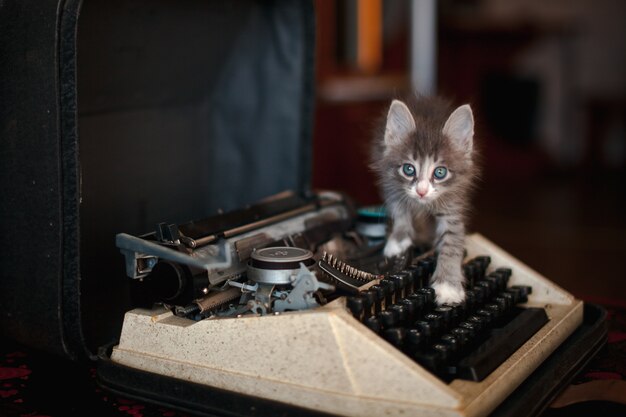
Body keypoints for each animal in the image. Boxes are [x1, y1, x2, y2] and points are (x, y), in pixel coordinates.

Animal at [368, 94, 476, 304]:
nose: (422, 191)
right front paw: (398, 241)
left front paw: (448, 286)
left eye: (440, 172)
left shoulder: (452, 205)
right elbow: (400, 212)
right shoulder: (391, 184)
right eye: (409, 169)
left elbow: (452, 240)